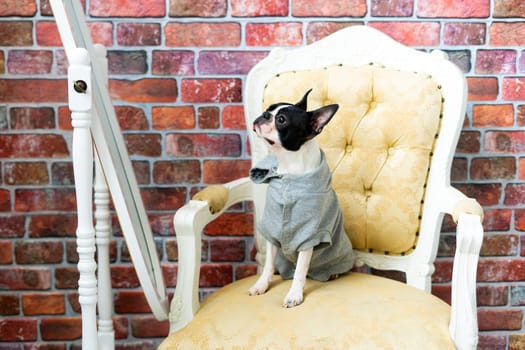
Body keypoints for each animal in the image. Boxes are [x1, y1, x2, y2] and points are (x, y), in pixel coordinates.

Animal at [246, 89, 352, 308]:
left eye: (281, 120)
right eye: (269, 108)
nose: (264, 115)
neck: (290, 169)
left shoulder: (310, 235)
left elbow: (301, 271)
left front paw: (294, 294)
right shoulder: (272, 229)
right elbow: (268, 264)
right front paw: (261, 284)